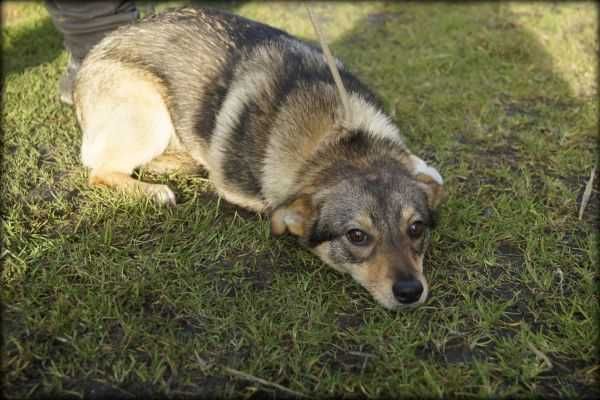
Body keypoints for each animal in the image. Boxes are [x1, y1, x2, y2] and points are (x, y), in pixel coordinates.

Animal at [72, 7, 446, 310]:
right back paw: (153, 191)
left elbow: (433, 175)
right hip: (148, 115)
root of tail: (94, 52)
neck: (339, 138)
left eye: (416, 228)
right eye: (357, 236)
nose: (411, 291)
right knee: (99, 170)